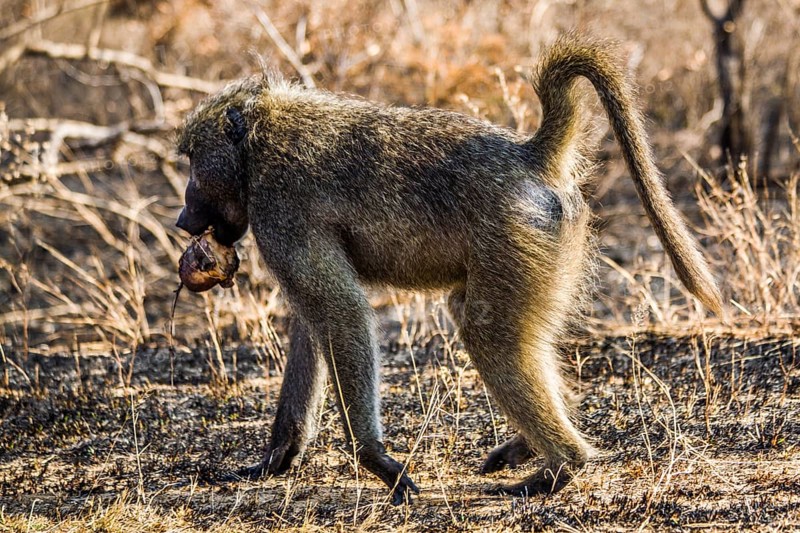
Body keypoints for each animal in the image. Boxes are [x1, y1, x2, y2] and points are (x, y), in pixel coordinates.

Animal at [175, 34, 722, 505]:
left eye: (192, 160)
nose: (182, 218)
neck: (255, 141)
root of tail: (530, 157)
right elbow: (314, 326)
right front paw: (277, 457)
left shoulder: (278, 207)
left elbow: (340, 312)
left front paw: (377, 463)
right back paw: (532, 447)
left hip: (516, 237)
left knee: (486, 331)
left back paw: (558, 468)